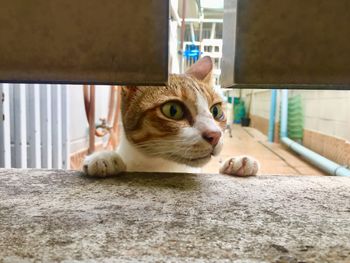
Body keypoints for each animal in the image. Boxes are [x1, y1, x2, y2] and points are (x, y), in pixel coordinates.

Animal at [83, 56, 260, 178]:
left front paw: (238, 162)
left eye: (215, 111)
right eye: (173, 110)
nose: (215, 135)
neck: (166, 166)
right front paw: (103, 157)